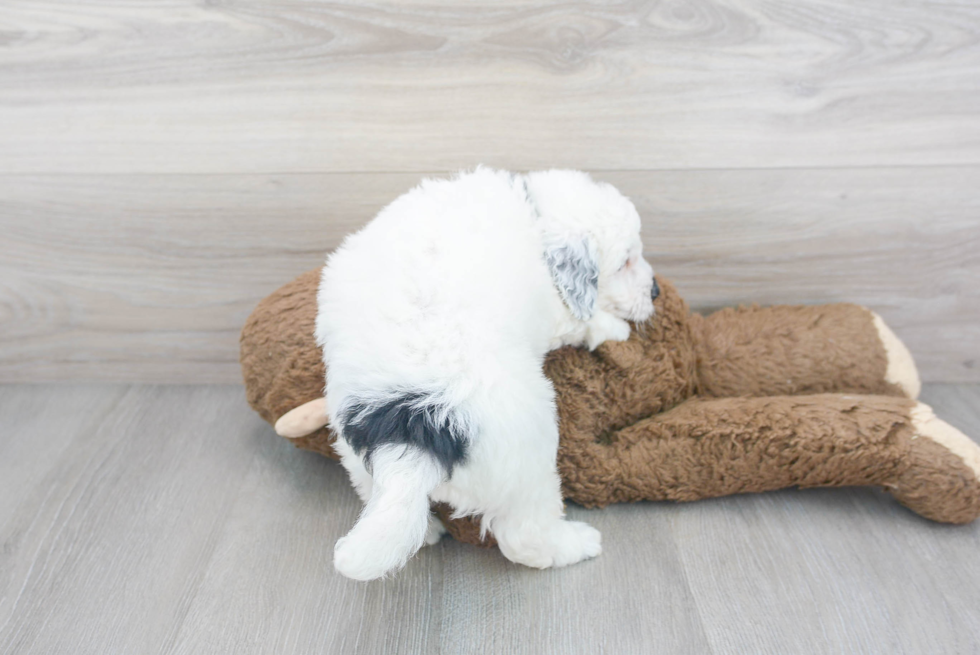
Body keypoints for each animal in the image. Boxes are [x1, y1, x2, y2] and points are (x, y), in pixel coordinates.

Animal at [318, 167, 660, 580]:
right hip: (528, 455)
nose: (656, 291)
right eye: (625, 262)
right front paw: (615, 328)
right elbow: (584, 320)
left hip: (353, 451)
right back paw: (576, 544)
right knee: (525, 537)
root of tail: (420, 420)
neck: (536, 214)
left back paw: (426, 530)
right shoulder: (558, 312)